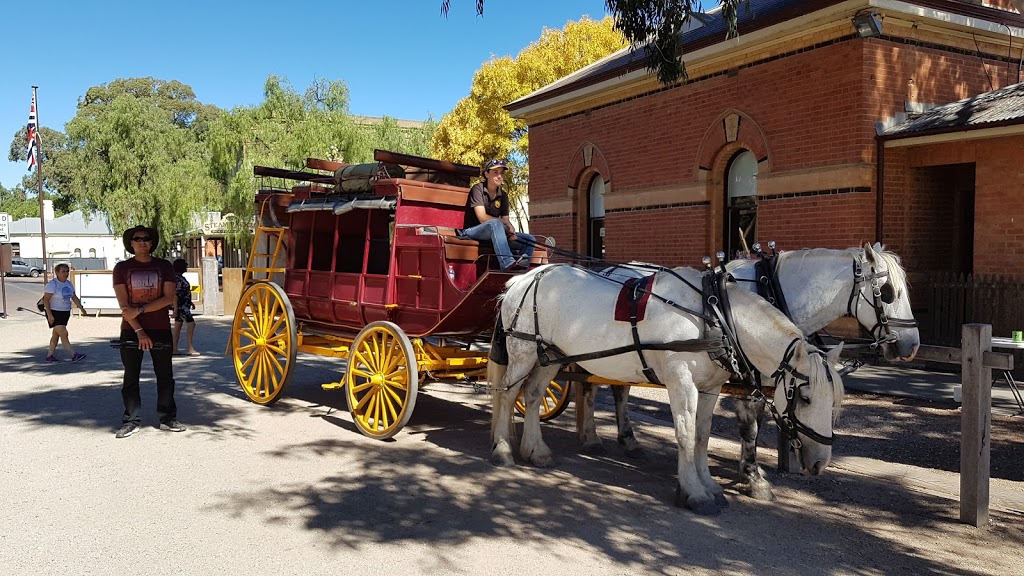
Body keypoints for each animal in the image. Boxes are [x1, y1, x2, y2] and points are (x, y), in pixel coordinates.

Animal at [491, 262, 843, 512]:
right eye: (805, 398)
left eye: (833, 405)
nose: (819, 463)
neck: (713, 315)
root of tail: (524, 278)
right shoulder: (681, 383)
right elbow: (685, 435)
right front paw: (693, 492)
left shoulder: (709, 389)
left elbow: (701, 436)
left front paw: (709, 485)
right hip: (523, 352)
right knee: (507, 395)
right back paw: (503, 449)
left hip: (549, 356)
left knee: (533, 396)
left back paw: (536, 450)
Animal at [577, 241, 921, 498]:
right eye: (888, 292)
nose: (911, 346)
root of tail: (608, 268)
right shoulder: (745, 379)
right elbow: (749, 428)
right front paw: (753, 477)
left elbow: (756, 424)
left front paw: (748, 470)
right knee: (591, 385)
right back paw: (593, 436)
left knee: (618, 390)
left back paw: (628, 439)